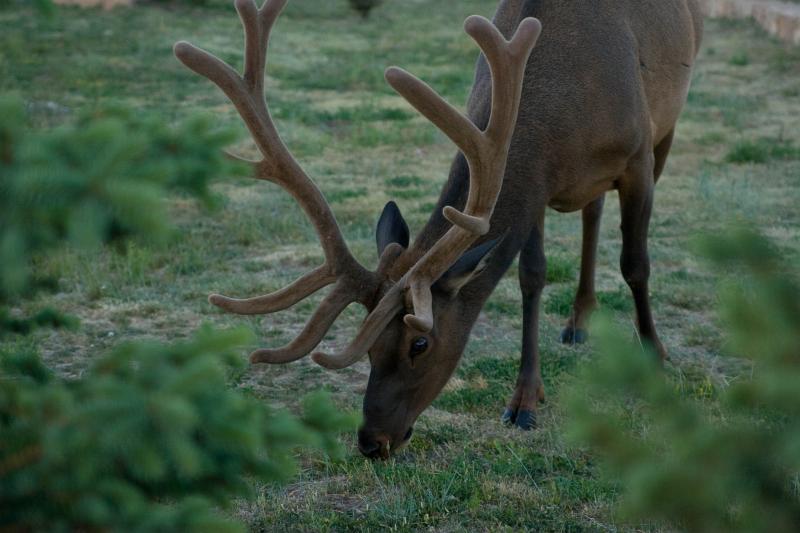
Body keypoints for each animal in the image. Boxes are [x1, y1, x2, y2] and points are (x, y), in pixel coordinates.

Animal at [175, 0, 700, 458]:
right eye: (370, 346)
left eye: (420, 343)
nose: (372, 442)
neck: (564, 115)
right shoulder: (537, 185)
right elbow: (531, 276)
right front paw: (525, 399)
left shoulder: (637, 158)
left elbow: (635, 264)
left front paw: (655, 359)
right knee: (591, 212)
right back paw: (578, 320)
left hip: (667, 127)